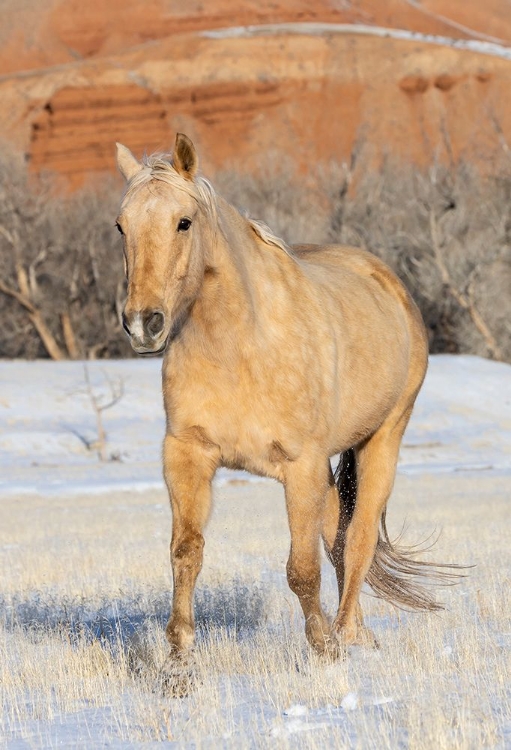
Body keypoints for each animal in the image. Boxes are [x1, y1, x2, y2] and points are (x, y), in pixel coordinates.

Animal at [115, 137, 456, 664]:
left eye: (184, 222)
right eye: (121, 225)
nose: (142, 324)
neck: (241, 345)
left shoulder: (301, 466)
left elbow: (302, 569)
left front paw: (324, 649)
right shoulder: (187, 455)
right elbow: (186, 552)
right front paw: (179, 658)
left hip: (382, 440)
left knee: (357, 540)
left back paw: (346, 634)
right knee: (338, 535)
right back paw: (358, 632)